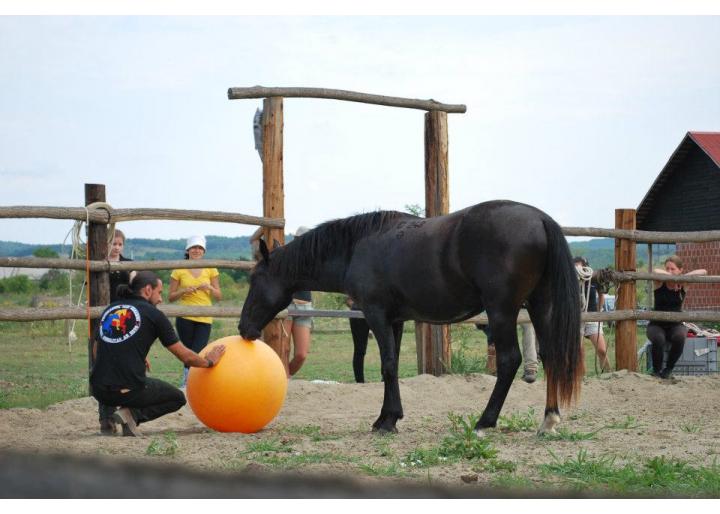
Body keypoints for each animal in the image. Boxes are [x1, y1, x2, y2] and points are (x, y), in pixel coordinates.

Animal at [242, 199, 584, 432]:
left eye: (254, 280)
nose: (244, 328)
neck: (356, 247)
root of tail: (540, 219)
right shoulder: (395, 320)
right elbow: (390, 367)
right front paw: (389, 416)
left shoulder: (376, 314)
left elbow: (388, 365)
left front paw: (386, 421)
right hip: (540, 305)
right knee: (551, 355)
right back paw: (548, 420)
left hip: (502, 311)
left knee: (509, 360)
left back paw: (484, 422)